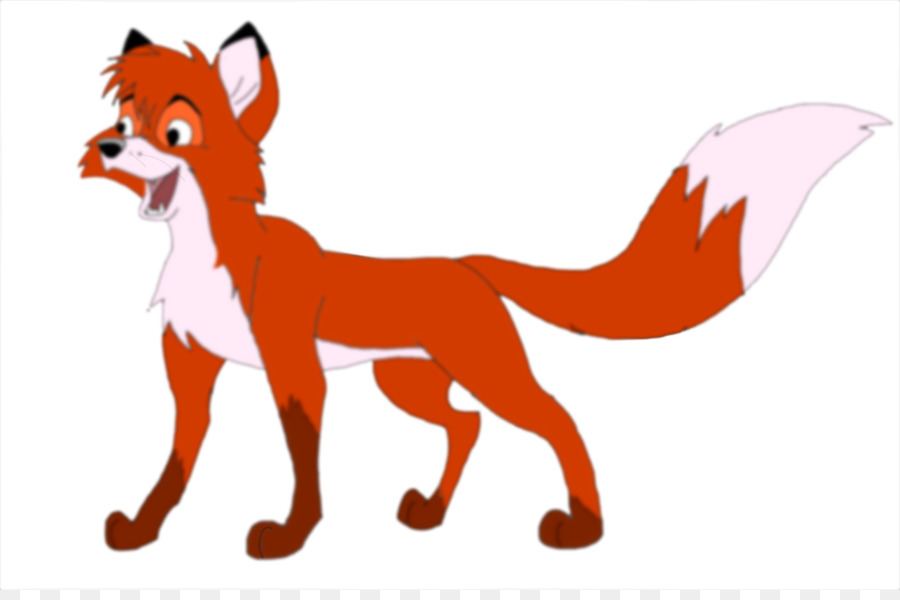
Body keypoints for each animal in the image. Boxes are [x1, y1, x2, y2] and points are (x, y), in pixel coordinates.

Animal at [80, 23, 888, 559]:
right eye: (122, 118)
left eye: (176, 131)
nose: (108, 147)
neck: (206, 256)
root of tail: (469, 264)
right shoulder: (189, 363)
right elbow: (176, 461)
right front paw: (143, 531)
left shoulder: (293, 368)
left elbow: (302, 459)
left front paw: (289, 536)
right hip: (408, 382)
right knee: (466, 425)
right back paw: (431, 513)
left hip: (486, 370)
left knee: (557, 419)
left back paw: (582, 528)